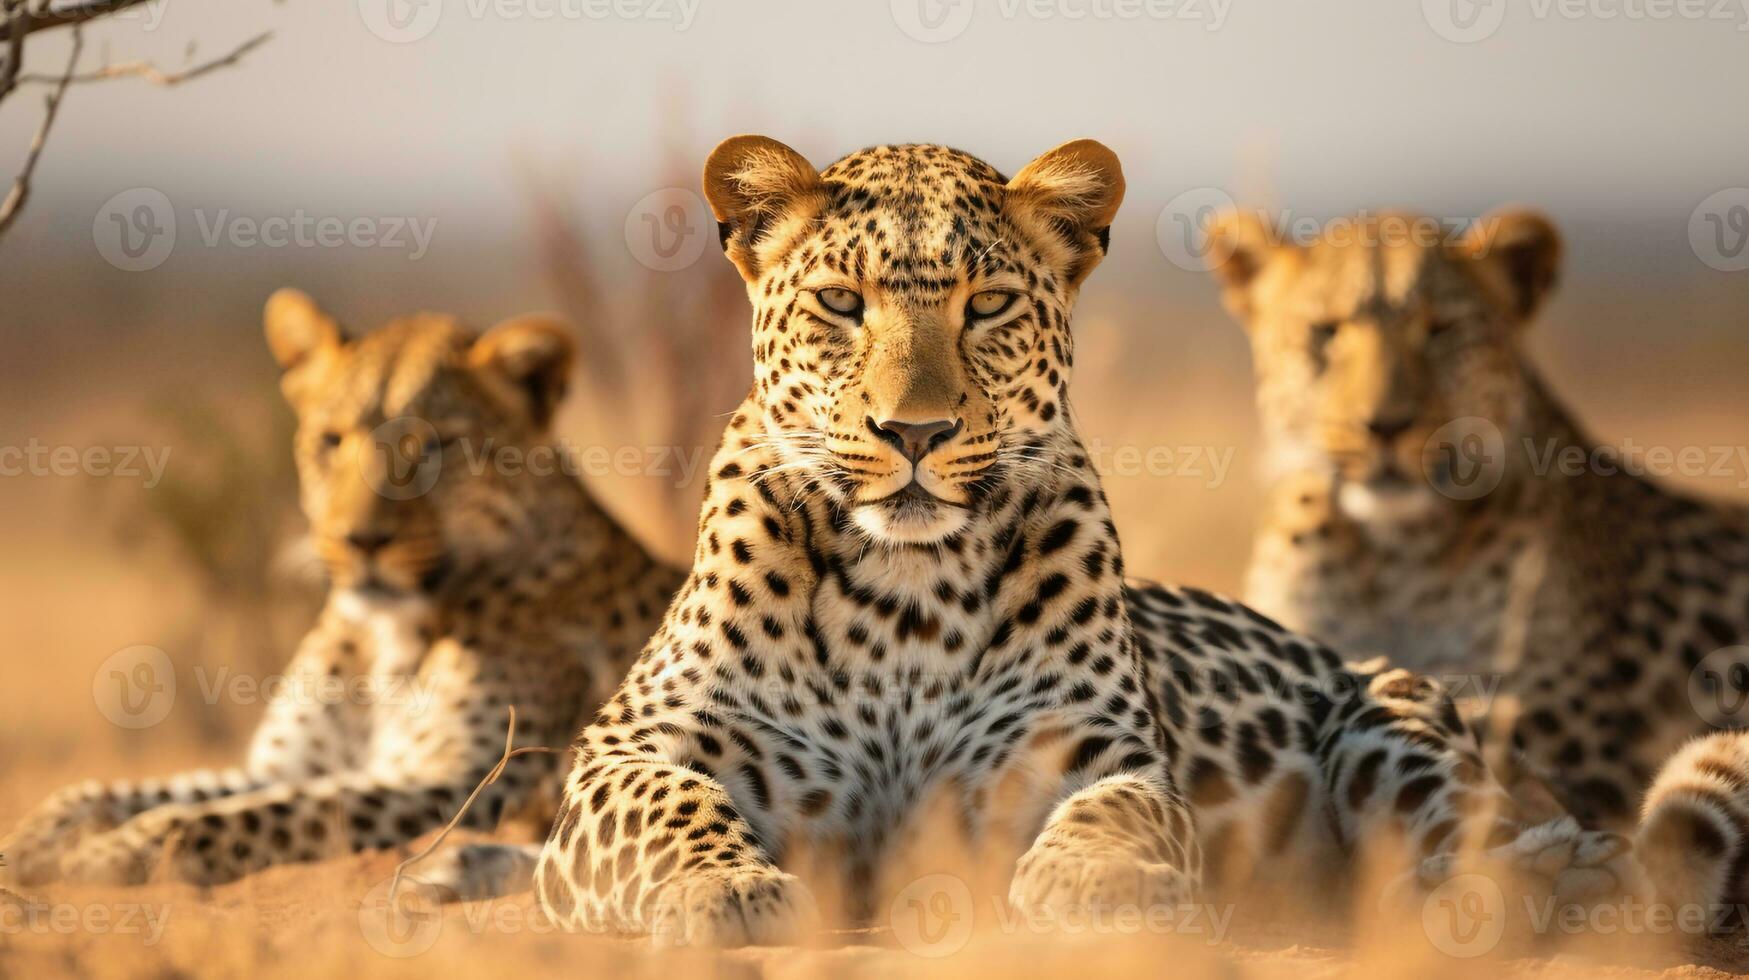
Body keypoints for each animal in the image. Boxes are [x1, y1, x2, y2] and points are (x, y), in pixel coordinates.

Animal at [0, 290, 682, 896]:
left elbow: (243, 816)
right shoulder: (289, 767)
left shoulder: (470, 780)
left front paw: (107, 855)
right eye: (331, 441)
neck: (383, 638)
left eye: (437, 444)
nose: (362, 540)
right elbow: (136, 791)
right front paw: (31, 842)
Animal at [524, 140, 1630, 952]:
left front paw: (1097, 880)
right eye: (842, 302)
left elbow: (1116, 810)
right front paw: (729, 886)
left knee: (1480, 845)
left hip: (1390, 716)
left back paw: (1540, 873)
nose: (914, 431)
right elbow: (669, 804)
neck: (901, 592)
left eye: (986, 306)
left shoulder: (1093, 749)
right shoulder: (627, 748)